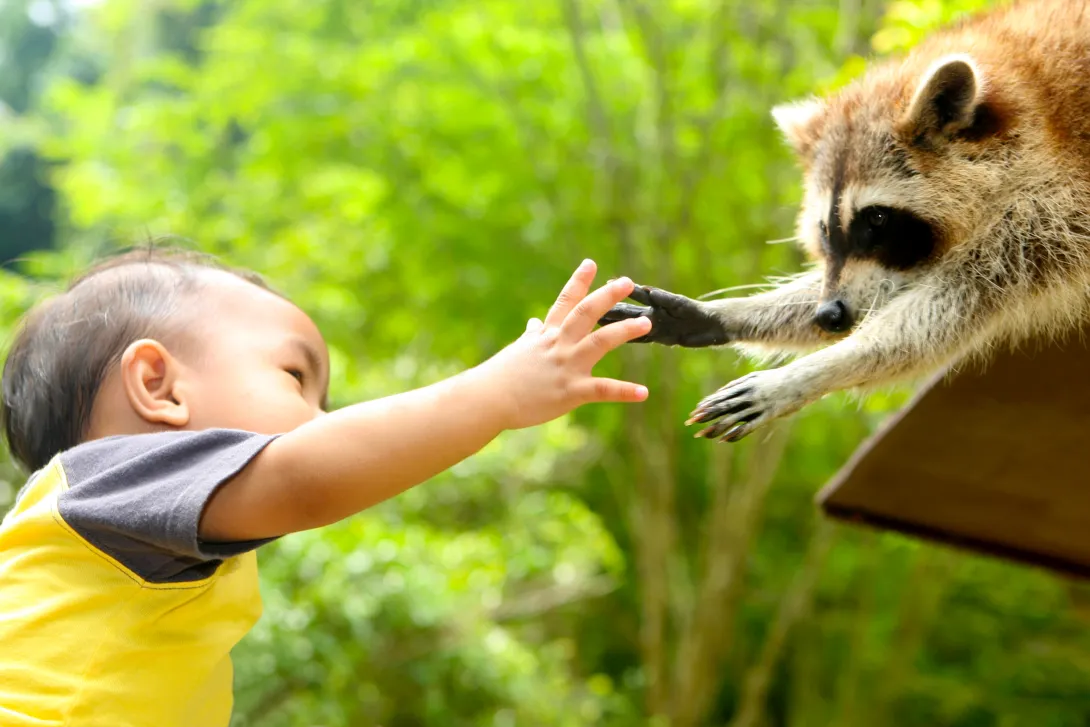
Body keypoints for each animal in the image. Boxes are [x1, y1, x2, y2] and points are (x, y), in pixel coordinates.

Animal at [600, 0, 1090, 442]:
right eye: (824, 229)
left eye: (877, 219)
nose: (829, 315)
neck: (1033, 105)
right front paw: (729, 313)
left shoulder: (1055, 210)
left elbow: (950, 308)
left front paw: (809, 373)